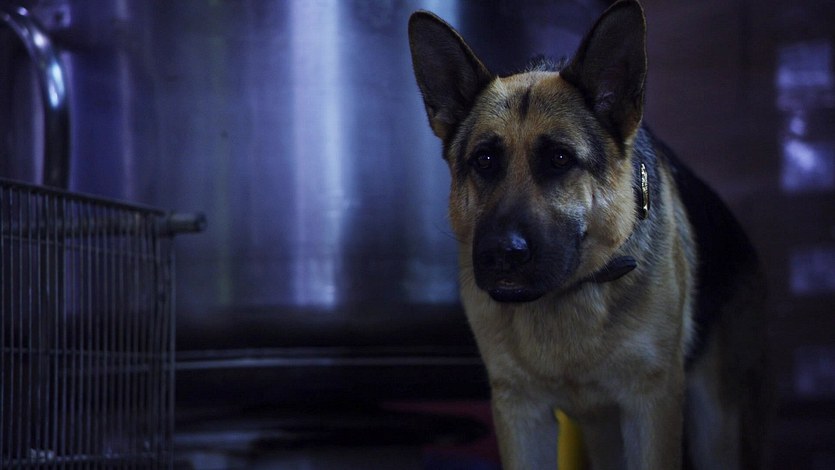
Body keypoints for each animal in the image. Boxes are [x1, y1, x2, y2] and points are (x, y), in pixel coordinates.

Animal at [408, 1, 768, 468]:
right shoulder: (520, 413)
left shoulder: (652, 406)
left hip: (715, 425)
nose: (501, 255)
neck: (569, 296)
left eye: (560, 159)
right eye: (484, 160)